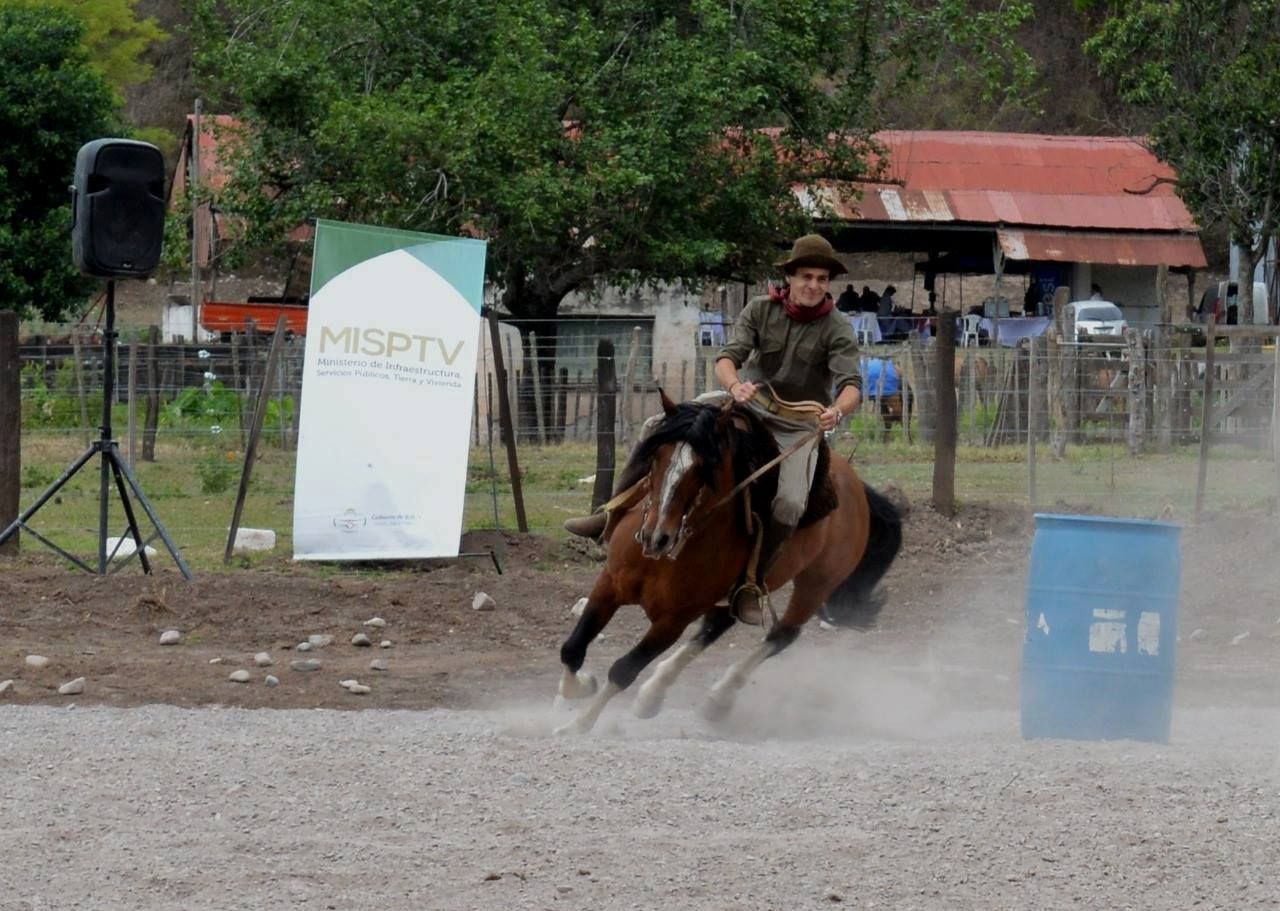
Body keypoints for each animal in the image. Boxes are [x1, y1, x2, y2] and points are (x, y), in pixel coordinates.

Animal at [555, 391, 903, 734]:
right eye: (655, 458)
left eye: (702, 469)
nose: (656, 537)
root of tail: (857, 487)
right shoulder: (609, 585)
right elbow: (572, 649)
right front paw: (581, 687)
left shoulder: (672, 621)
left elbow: (624, 669)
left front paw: (578, 724)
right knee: (717, 625)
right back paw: (654, 693)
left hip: (816, 583)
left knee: (781, 634)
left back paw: (718, 698)